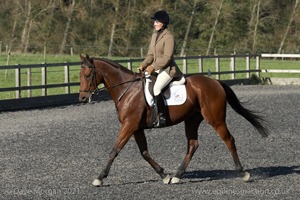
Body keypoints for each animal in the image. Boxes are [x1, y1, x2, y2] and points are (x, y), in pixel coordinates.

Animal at [78, 53, 270, 186]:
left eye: (87, 76)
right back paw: (177, 176)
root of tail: (215, 82)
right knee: (193, 145)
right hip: (192, 120)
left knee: (229, 139)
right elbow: (144, 153)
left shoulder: (129, 125)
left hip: (215, 119)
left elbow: (114, 150)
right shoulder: (136, 128)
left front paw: (99, 178)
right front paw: (164, 175)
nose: (81, 98)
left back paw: (243, 173)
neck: (127, 89)